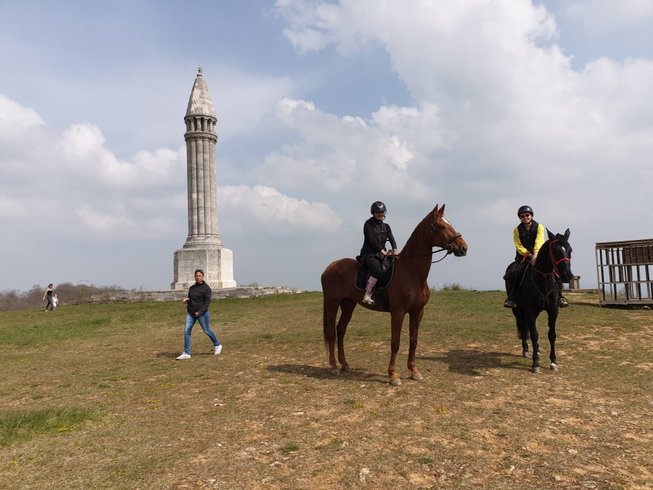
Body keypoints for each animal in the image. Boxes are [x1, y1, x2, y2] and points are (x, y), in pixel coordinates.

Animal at [320, 204, 468, 386]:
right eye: (441, 226)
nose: (463, 247)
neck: (411, 271)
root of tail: (330, 267)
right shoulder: (398, 312)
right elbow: (395, 343)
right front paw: (393, 375)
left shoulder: (417, 312)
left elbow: (413, 341)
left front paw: (414, 371)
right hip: (333, 303)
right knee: (331, 333)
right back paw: (334, 366)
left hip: (348, 303)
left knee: (341, 330)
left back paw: (345, 364)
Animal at [512, 229, 573, 373]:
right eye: (555, 251)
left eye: (570, 250)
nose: (567, 276)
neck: (543, 279)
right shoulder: (530, 311)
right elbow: (534, 335)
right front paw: (535, 363)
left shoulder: (553, 310)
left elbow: (552, 335)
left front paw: (553, 362)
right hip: (517, 310)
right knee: (522, 327)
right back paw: (526, 350)